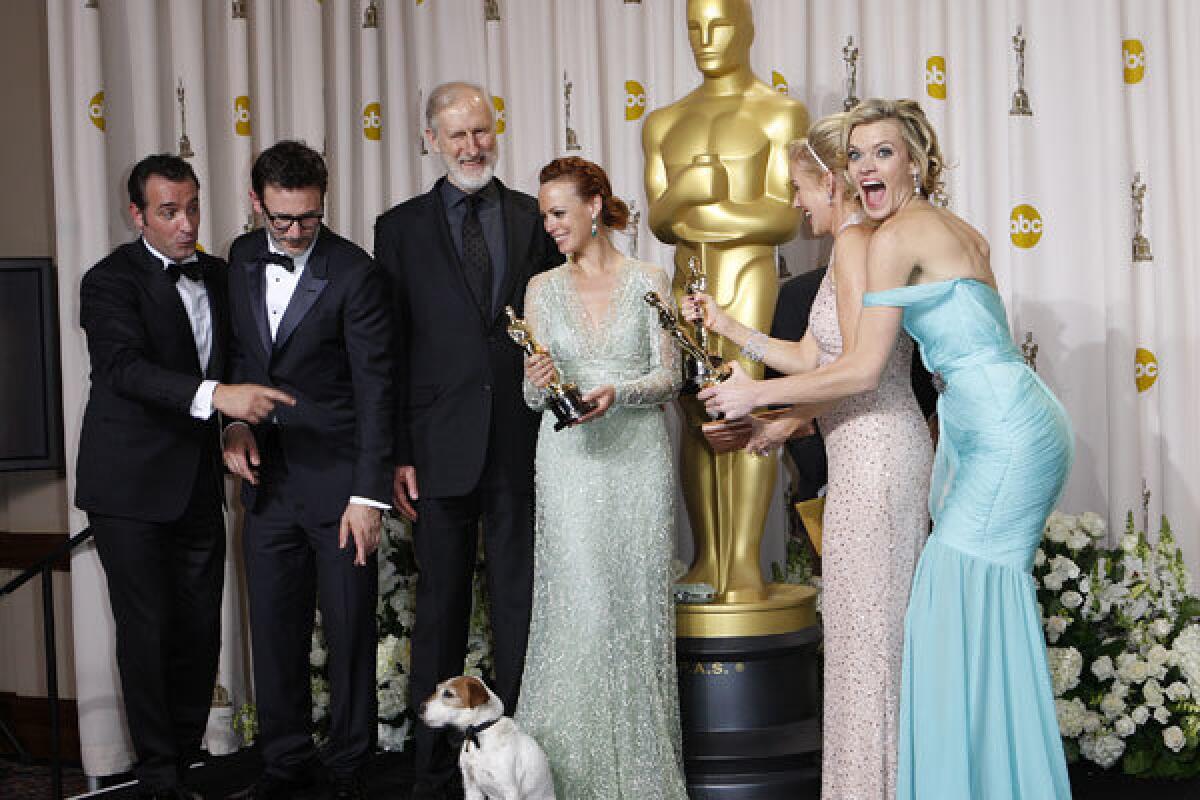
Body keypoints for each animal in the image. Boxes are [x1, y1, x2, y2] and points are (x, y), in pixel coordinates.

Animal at [420, 681, 554, 796]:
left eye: (448, 693)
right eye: (437, 689)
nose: (420, 708)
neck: (479, 736)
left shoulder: (510, 790)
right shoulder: (471, 786)